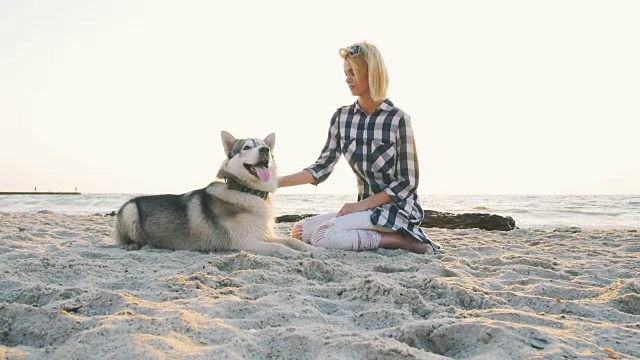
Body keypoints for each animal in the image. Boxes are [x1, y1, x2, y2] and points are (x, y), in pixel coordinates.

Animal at [114, 131, 318, 255]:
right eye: (246, 147)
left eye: (263, 145)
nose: (265, 149)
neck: (248, 192)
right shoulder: (244, 242)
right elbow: (279, 247)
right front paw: (295, 254)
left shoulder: (264, 235)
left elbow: (292, 242)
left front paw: (313, 249)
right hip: (130, 210)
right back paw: (133, 244)